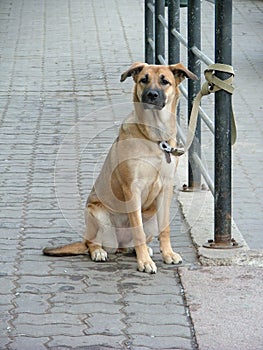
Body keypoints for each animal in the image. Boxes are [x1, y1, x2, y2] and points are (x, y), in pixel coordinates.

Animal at [43, 62, 197, 274]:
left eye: (165, 81)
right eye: (144, 80)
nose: (151, 95)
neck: (154, 138)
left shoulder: (166, 188)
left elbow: (165, 228)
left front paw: (168, 254)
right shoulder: (132, 188)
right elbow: (137, 230)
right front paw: (144, 263)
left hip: (150, 220)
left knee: (131, 243)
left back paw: (141, 250)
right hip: (97, 214)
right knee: (92, 244)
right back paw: (100, 252)